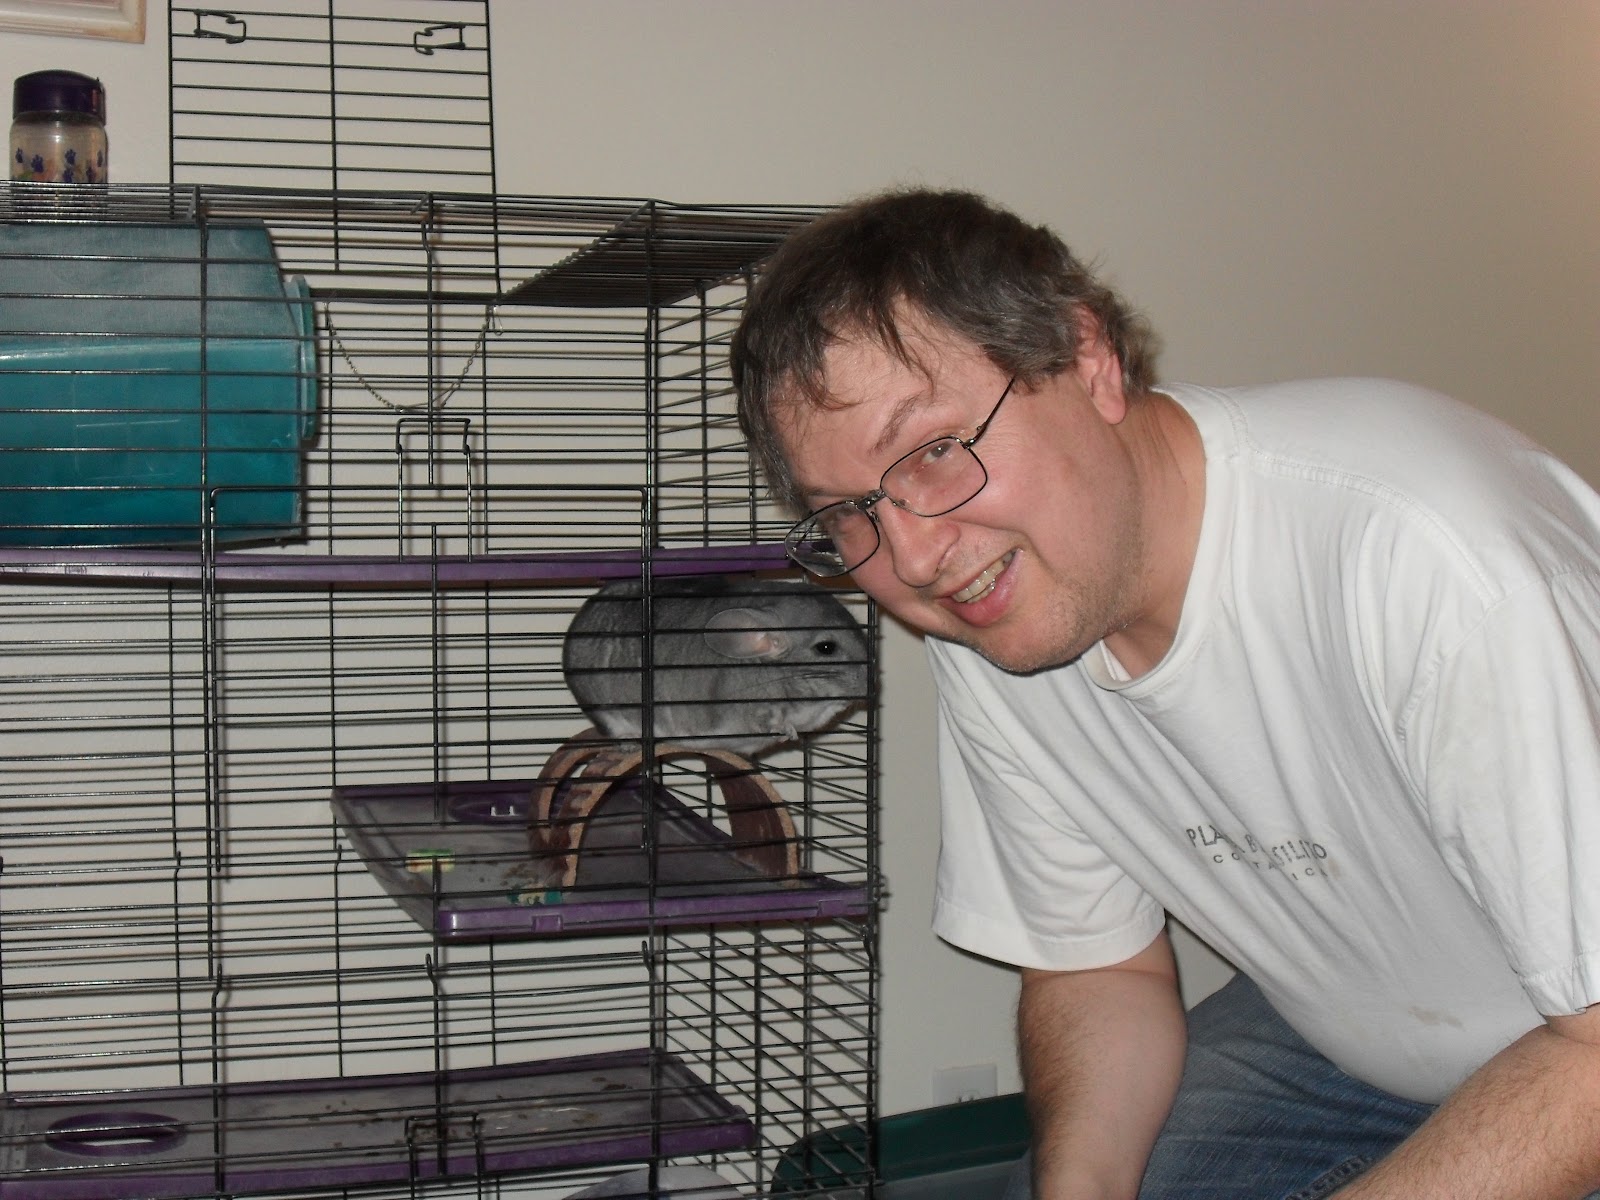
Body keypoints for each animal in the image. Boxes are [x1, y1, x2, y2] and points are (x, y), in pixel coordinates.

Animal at [562, 575, 871, 756]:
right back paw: (629, 742)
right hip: (607, 710)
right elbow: (769, 720)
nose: (872, 686)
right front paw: (787, 730)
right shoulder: (747, 707)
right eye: (826, 648)